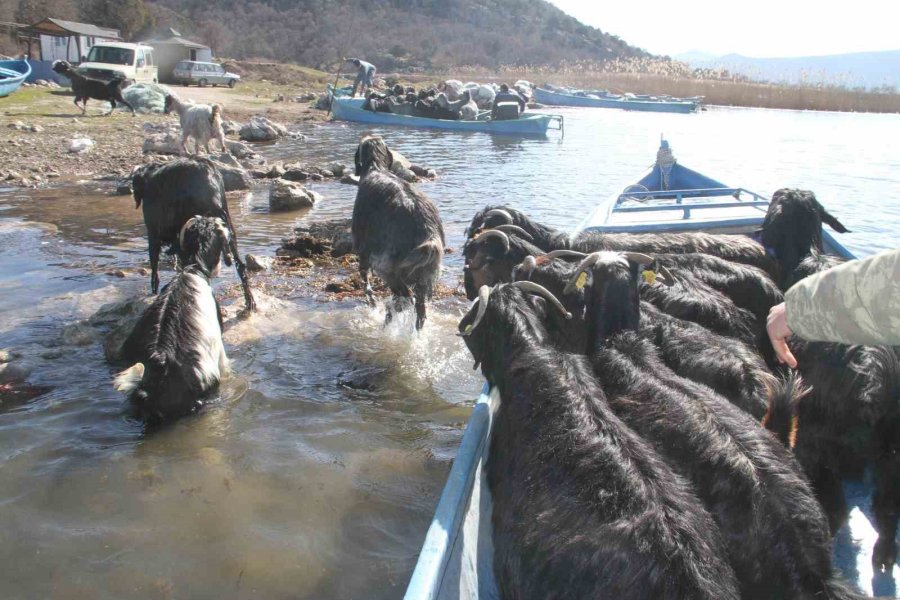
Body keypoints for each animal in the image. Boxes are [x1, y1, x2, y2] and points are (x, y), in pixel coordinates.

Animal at [352, 137, 442, 330]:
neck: (376, 167)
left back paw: (388, 317)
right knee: (418, 310)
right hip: (424, 276)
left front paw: (372, 303)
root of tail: (427, 228)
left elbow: (366, 282)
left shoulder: (363, 251)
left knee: (404, 298)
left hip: (387, 266)